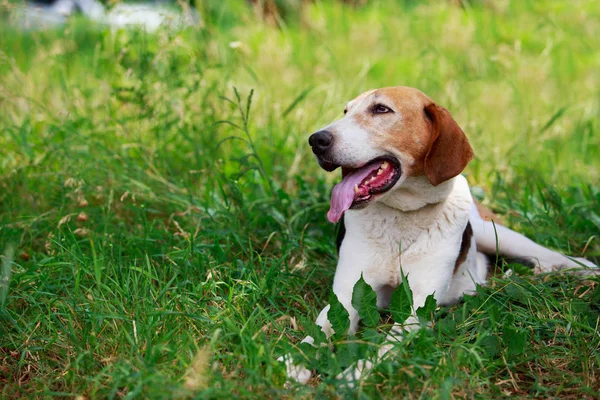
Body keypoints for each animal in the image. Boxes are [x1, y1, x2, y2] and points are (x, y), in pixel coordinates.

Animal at [282, 85, 600, 384]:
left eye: (381, 109)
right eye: (346, 111)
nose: (316, 140)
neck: (402, 219)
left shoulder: (419, 306)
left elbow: (384, 348)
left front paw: (351, 377)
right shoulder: (347, 295)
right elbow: (319, 332)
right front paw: (296, 363)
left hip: (495, 233)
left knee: (546, 254)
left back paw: (583, 269)